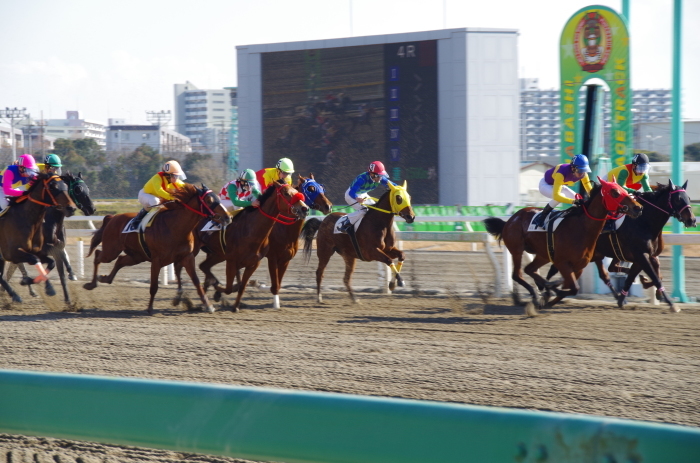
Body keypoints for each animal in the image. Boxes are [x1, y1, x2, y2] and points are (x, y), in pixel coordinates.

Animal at [8, 172, 96, 302]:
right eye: (78, 189)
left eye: (88, 188)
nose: (92, 208)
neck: (52, 220)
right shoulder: (42, 249)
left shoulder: (58, 247)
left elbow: (62, 270)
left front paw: (68, 296)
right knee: (18, 265)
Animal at [83, 185, 228, 316]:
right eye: (209, 200)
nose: (227, 217)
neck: (175, 226)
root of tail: (112, 218)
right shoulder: (157, 260)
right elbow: (153, 286)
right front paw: (149, 308)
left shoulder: (187, 257)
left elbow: (196, 281)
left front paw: (208, 305)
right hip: (111, 251)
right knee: (98, 255)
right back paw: (91, 284)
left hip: (136, 256)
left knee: (120, 260)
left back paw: (104, 279)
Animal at [196, 183, 308, 314]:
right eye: (286, 193)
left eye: (298, 192)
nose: (304, 208)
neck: (251, 231)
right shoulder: (233, 261)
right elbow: (229, 288)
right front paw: (218, 292)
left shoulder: (255, 263)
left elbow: (242, 286)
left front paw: (235, 306)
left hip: (217, 254)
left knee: (204, 266)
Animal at [484, 178, 644, 312]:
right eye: (615, 192)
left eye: (624, 190)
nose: (638, 208)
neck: (581, 228)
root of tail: (511, 219)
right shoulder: (562, 263)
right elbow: (573, 288)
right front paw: (550, 292)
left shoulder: (578, 266)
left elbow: (572, 287)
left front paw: (549, 294)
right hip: (517, 249)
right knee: (517, 274)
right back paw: (537, 294)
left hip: (543, 255)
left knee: (530, 269)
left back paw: (543, 289)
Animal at [548, 179, 696, 314]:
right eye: (678, 199)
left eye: (688, 198)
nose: (692, 220)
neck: (644, 222)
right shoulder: (640, 255)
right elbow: (654, 277)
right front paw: (672, 304)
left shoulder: (644, 256)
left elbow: (639, 277)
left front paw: (624, 297)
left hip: (597, 254)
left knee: (606, 272)